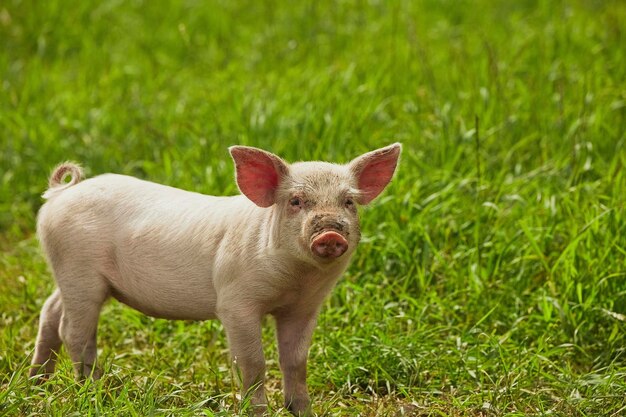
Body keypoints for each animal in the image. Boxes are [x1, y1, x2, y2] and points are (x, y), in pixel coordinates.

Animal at [31, 142, 400, 412]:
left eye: (348, 202)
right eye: (296, 201)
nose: (330, 233)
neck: (297, 280)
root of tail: (60, 194)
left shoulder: (305, 308)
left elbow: (296, 362)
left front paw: (302, 411)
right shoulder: (235, 302)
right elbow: (253, 363)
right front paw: (257, 411)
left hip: (68, 273)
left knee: (50, 312)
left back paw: (38, 384)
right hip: (79, 270)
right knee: (72, 330)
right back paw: (94, 392)